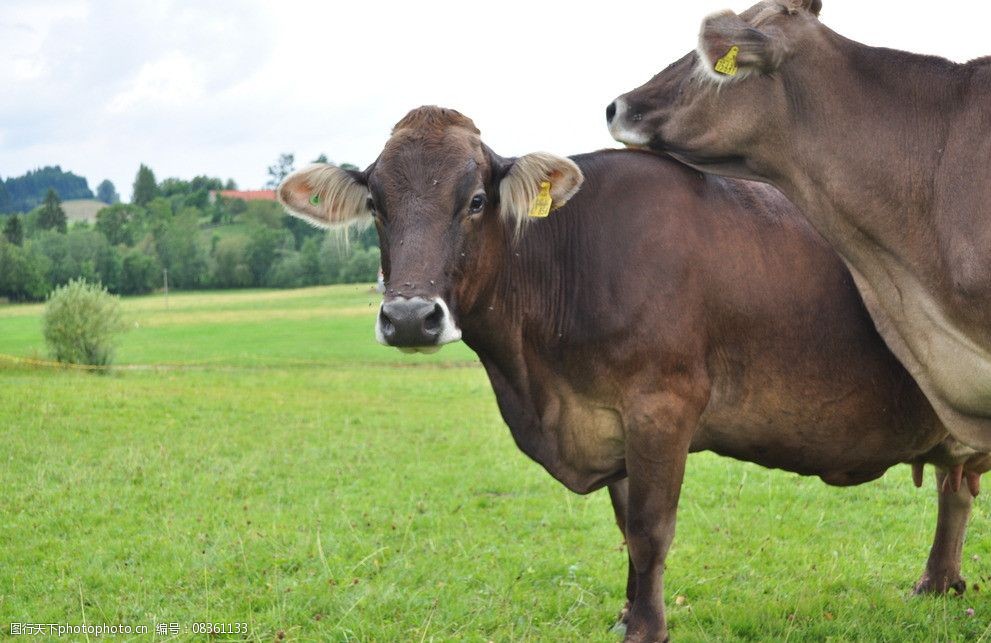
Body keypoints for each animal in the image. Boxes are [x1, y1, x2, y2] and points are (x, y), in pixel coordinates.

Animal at [280, 108, 991, 640]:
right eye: (376, 204)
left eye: (476, 199)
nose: (408, 317)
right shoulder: (609, 417)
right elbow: (626, 529)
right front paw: (627, 614)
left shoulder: (661, 406)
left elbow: (650, 529)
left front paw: (647, 628)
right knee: (954, 488)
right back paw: (937, 583)